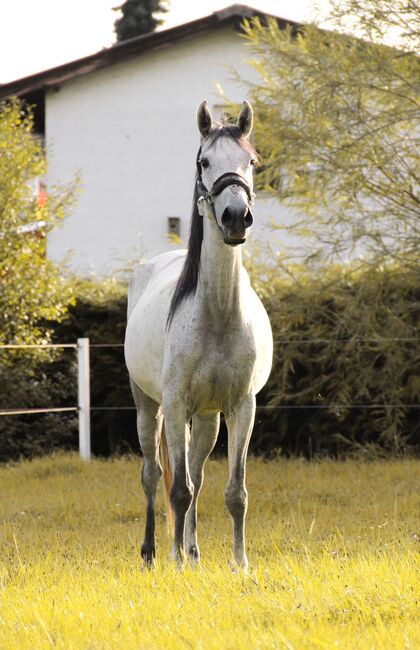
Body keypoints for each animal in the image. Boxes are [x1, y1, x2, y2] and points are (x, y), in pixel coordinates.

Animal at [124, 100, 272, 568]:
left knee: (199, 475)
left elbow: (234, 492)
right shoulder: (174, 406)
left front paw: (240, 564)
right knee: (153, 476)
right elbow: (177, 489)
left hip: (207, 418)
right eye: (204, 161)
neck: (218, 315)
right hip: (148, 407)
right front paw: (174, 563)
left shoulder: (242, 408)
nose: (236, 217)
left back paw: (192, 550)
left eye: (250, 161)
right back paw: (154, 552)